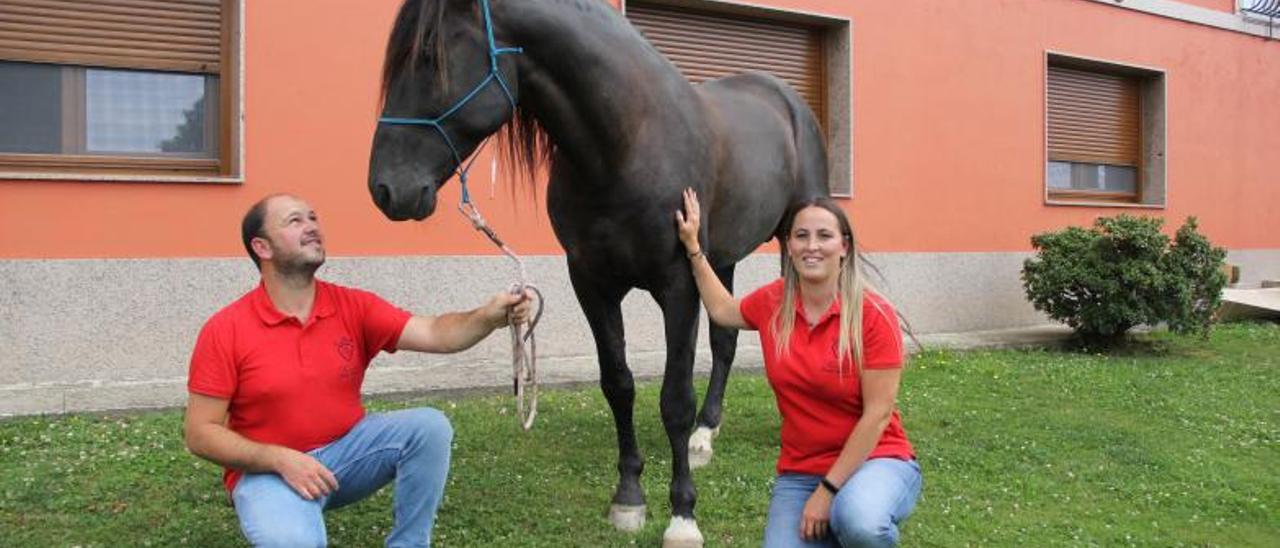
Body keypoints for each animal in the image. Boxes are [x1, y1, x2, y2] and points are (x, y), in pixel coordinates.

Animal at [371, 0, 829, 540]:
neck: (627, 144)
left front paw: (682, 514)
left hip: (793, 236)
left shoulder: (678, 284)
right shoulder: (591, 283)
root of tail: (786, 100)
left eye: (428, 58)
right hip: (722, 259)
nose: (386, 189)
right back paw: (705, 435)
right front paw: (629, 497)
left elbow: (674, 399)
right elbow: (618, 384)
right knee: (725, 342)